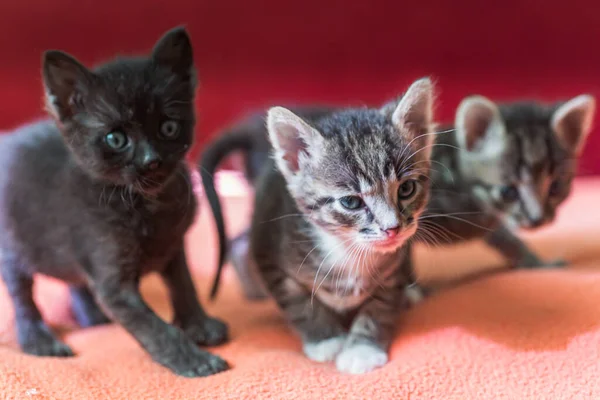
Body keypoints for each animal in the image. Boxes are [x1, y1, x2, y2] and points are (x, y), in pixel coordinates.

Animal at [0, 26, 230, 376]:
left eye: (168, 126)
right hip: (13, 247)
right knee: (22, 296)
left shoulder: (174, 247)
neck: (147, 204)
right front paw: (193, 359)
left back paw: (91, 316)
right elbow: (154, 327)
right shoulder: (114, 282)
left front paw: (199, 325)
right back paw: (39, 340)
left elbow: (185, 286)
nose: (151, 160)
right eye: (116, 139)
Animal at [246, 79, 434, 376]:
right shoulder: (268, 257)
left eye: (406, 188)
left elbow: (380, 308)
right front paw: (327, 340)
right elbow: (298, 304)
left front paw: (363, 350)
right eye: (351, 202)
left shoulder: (392, 273)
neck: (348, 250)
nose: (392, 228)